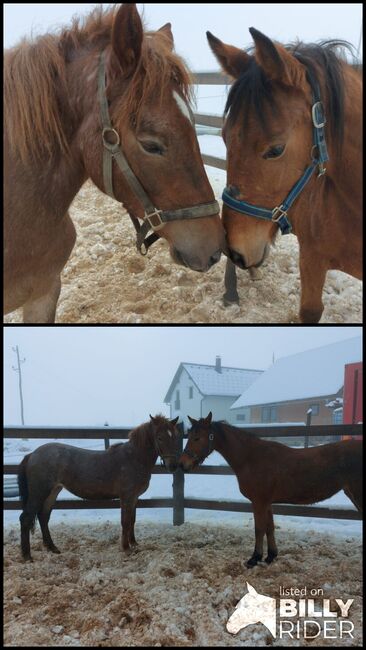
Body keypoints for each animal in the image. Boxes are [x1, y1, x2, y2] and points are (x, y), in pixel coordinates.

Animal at [17, 418, 179, 560]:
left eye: (174, 436)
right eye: (159, 437)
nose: (173, 466)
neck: (134, 458)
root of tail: (32, 454)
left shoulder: (134, 498)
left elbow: (132, 520)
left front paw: (134, 544)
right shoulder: (126, 497)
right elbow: (125, 521)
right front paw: (126, 548)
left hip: (53, 491)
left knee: (44, 517)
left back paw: (52, 548)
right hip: (39, 493)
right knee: (26, 518)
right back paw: (27, 556)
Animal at [179, 412, 362, 564]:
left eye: (197, 438)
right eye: (189, 436)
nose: (182, 464)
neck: (251, 458)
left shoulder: (258, 502)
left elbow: (259, 529)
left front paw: (255, 558)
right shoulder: (267, 502)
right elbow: (270, 528)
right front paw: (270, 556)